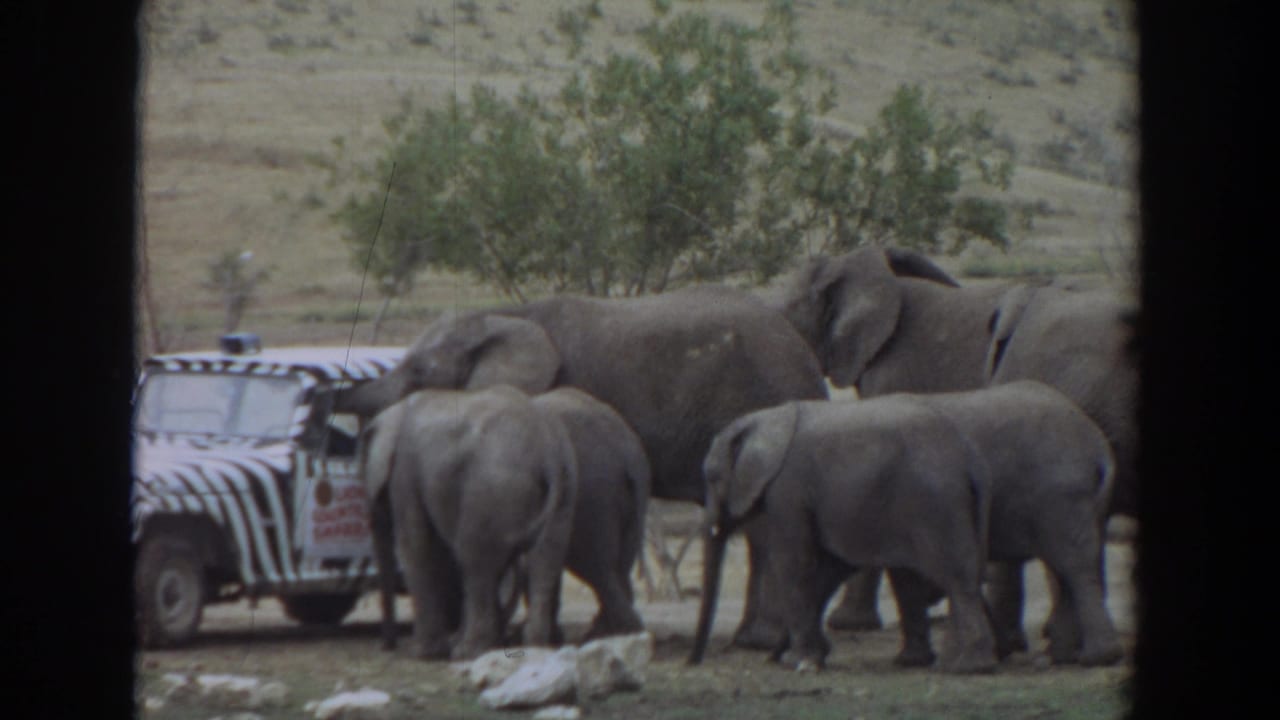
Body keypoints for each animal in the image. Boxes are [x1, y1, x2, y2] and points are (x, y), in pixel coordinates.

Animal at [359, 385, 578, 661]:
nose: (386, 646)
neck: (396, 410)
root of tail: (548, 452)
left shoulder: (405, 472)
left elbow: (418, 546)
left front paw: (425, 653)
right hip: (564, 495)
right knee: (545, 559)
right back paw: (535, 646)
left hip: (490, 491)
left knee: (474, 561)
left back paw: (468, 650)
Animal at [688, 396, 998, 674]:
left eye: (712, 478)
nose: (692, 662)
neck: (763, 419)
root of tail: (970, 458)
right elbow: (829, 569)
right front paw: (809, 655)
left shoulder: (787, 490)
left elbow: (795, 563)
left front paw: (799, 661)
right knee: (945, 578)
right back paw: (941, 662)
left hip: (936, 505)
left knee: (956, 579)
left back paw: (968, 667)